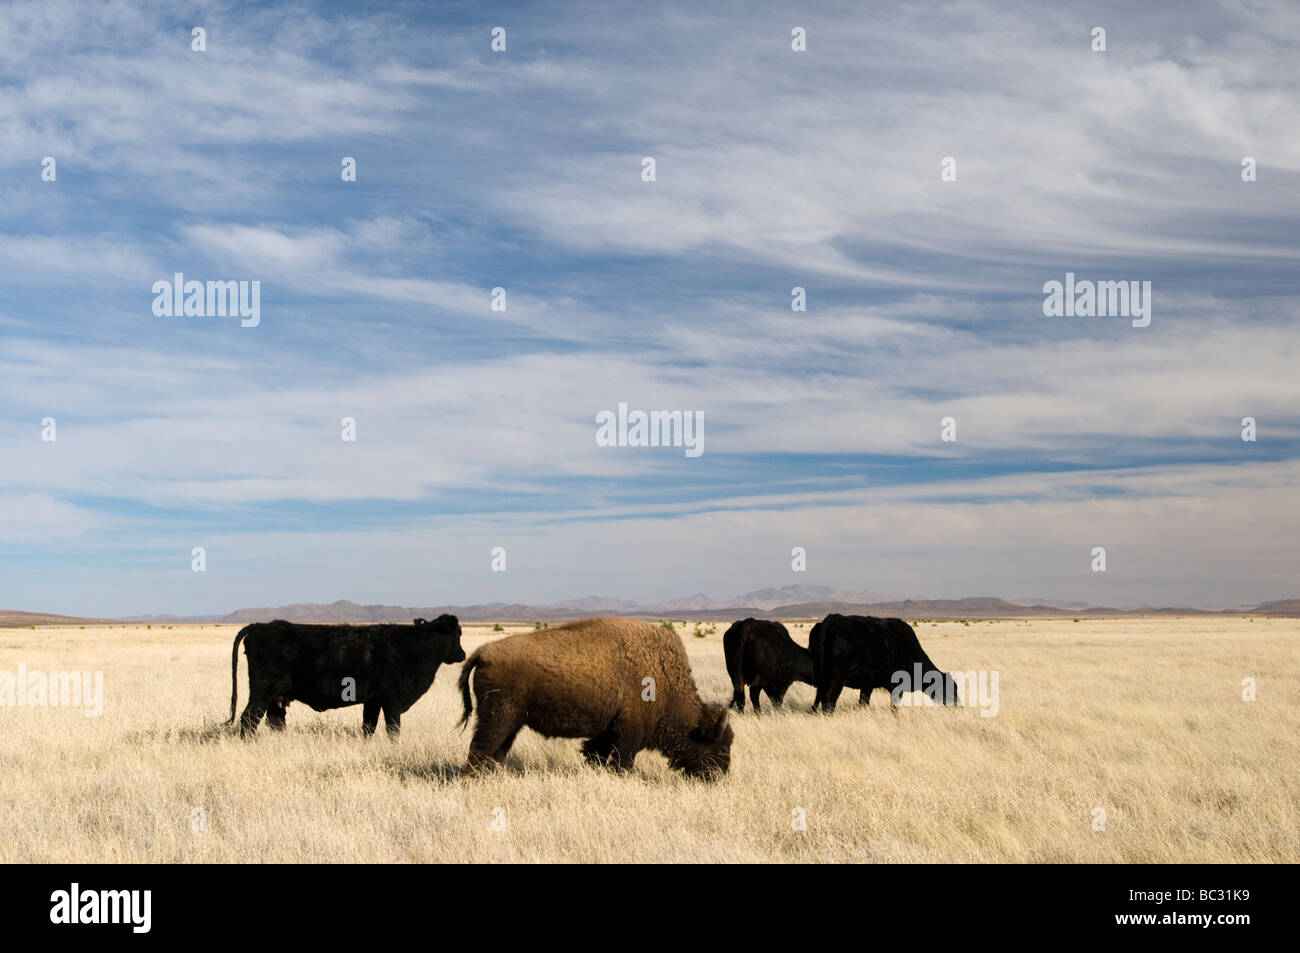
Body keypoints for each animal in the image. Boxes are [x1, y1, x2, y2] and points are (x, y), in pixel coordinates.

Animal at [224, 613, 467, 738]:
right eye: (458, 633)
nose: (463, 654)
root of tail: (261, 626)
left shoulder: (373, 700)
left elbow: (368, 727)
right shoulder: (392, 699)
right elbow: (393, 728)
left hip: (277, 698)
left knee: (274, 721)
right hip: (261, 692)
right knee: (249, 718)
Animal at [457, 616, 733, 780]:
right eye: (719, 746)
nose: (720, 775)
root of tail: (483, 652)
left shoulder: (606, 733)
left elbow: (596, 755)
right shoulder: (628, 733)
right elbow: (622, 761)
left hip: (511, 722)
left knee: (497, 751)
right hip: (499, 718)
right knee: (480, 748)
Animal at [806, 613, 961, 712]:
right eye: (951, 688)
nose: (959, 705)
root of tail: (834, 618)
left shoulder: (867, 685)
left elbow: (863, 703)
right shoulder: (897, 686)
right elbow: (895, 707)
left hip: (821, 677)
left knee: (819, 697)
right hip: (837, 677)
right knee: (829, 700)